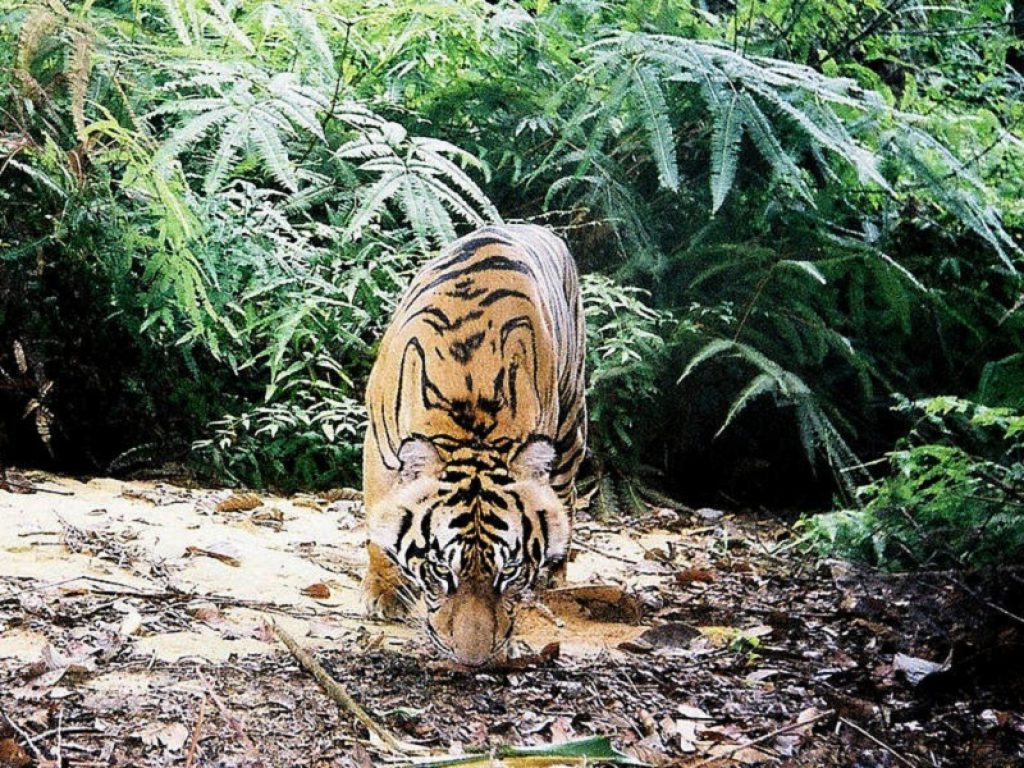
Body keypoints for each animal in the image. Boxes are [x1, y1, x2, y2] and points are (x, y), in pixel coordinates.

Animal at [361, 223, 587, 667]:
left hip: (571, 427)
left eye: (510, 572)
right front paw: (385, 593)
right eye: (440, 571)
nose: (474, 659)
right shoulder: (379, 451)